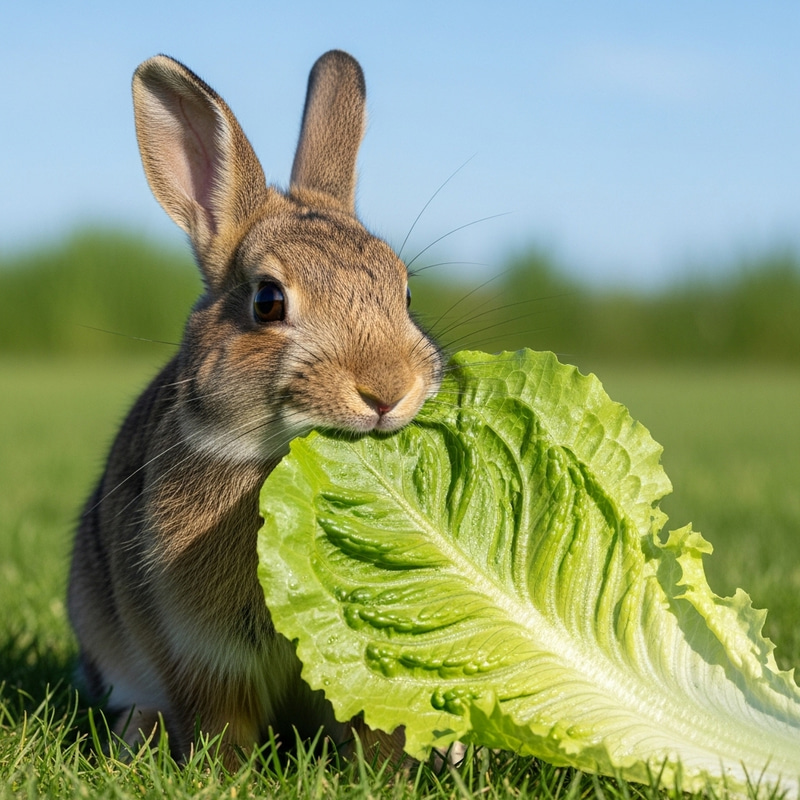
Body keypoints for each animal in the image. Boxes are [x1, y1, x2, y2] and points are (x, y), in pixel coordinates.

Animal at [67, 50, 443, 769]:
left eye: (405, 293)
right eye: (268, 301)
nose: (388, 390)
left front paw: (391, 768)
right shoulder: (205, 653)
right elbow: (223, 722)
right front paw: (224, 772)